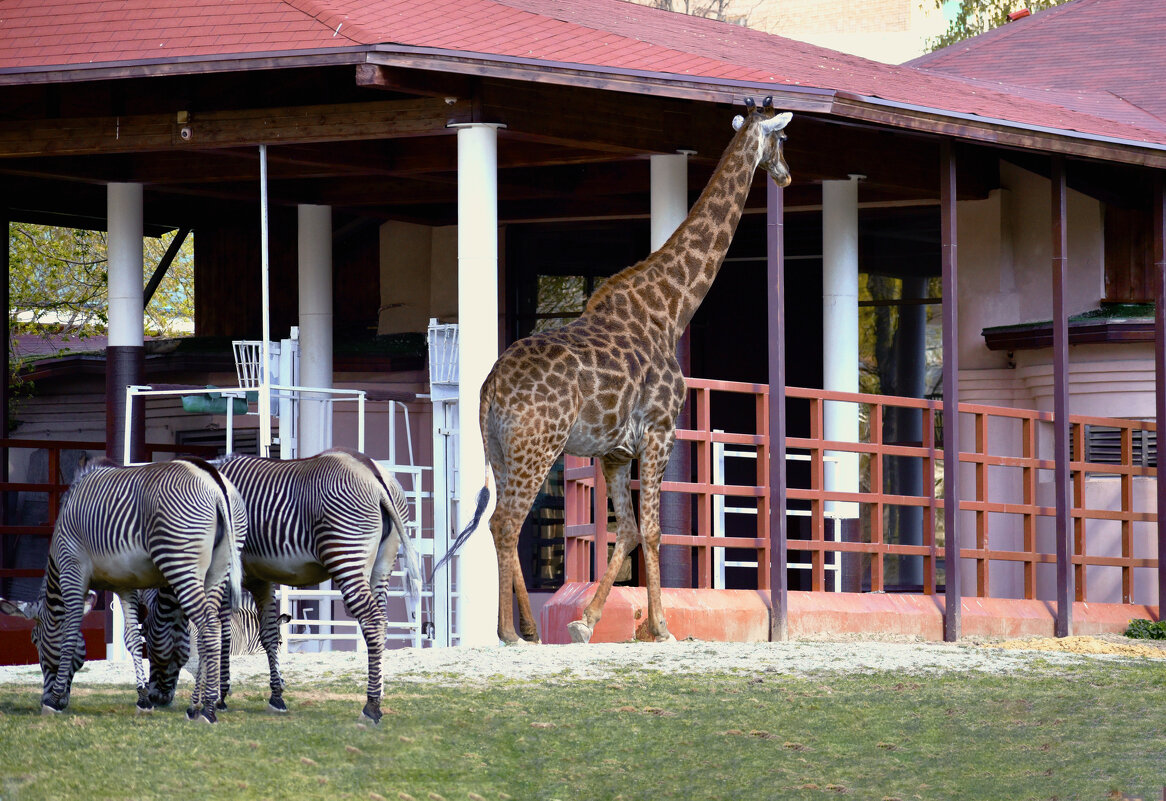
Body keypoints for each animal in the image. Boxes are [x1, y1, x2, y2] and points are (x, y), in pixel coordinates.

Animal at [0, 454, 242, 722]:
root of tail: (213, 480)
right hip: (219, 570)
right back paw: (194, 707)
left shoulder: (72, 572)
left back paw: (208, 709)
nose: (44, 698)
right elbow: (132, 638)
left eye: (34, 639)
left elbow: (70, 632)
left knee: (209, 626)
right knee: (212, 629)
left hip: (181, 564)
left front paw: (53, 701)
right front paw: (143, 700)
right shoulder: (125, 584)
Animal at [215, 447, 424, 722]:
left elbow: (222, 632)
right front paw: (276, 696)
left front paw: (219, 696)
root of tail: (373, 472)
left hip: (346, 553)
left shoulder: (227, 573)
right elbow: (268, 633)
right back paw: (378, 695)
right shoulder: (261, 578)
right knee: (382, 622)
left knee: (372, 620)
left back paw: (371, 707)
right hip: (383, 564)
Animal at [438, 97, 792, 643]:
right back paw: (510, 633)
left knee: (505, 522)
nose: (787, 175)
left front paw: (586, 622)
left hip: (499, 449)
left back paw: (531, 630)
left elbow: (625, 530)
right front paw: (661, 627)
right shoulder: (661, 430)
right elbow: (654, 529)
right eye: (783, 139)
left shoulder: (614, 451)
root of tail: (490, 387)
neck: (670, 309)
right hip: (538, 445)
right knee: (505, 522)